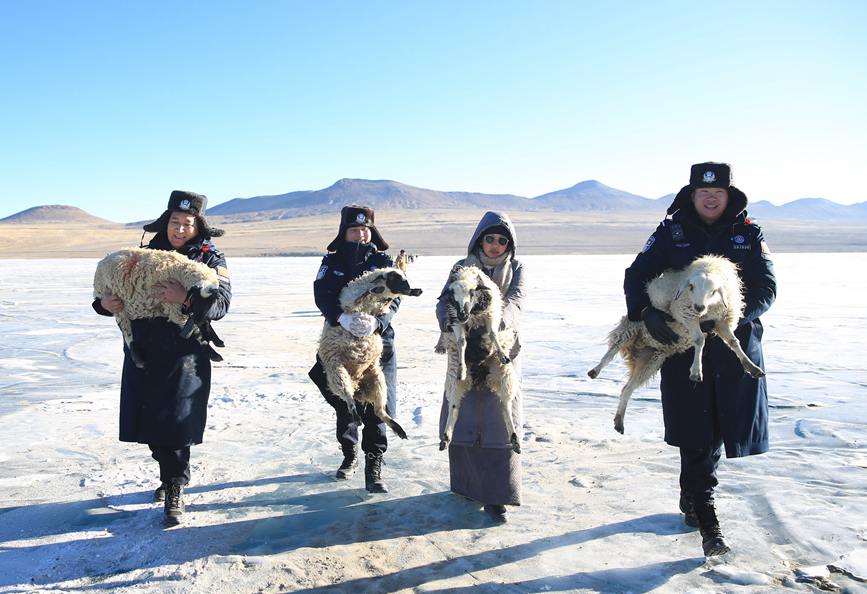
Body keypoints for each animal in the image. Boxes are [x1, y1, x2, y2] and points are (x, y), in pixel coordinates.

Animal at [320, 266, 426, 438]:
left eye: (405, 279)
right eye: (395, 279)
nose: (409, 289)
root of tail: (358, 385)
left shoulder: (379, 309)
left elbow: (387, 301)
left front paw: (414, 291)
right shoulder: (350, 303)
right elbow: (362, 297)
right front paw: (375, 290)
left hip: (378, 381)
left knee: (379, 411)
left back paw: (398, 429)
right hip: (338, 374)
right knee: (349, 400)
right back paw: (357, 418)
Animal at [588, 252, 768, 432]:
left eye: (713, 291)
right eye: (691, 287)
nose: (699, 307)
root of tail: (638, 346)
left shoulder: (721, 320)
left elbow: (734, 342)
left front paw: (751, 366)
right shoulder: (686, 315)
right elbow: (699, 339)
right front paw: (696, 371)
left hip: (650, 360)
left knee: (627, 388)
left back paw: (619, 421)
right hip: (631, 327)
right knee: (612, 350)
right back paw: (595, 370)